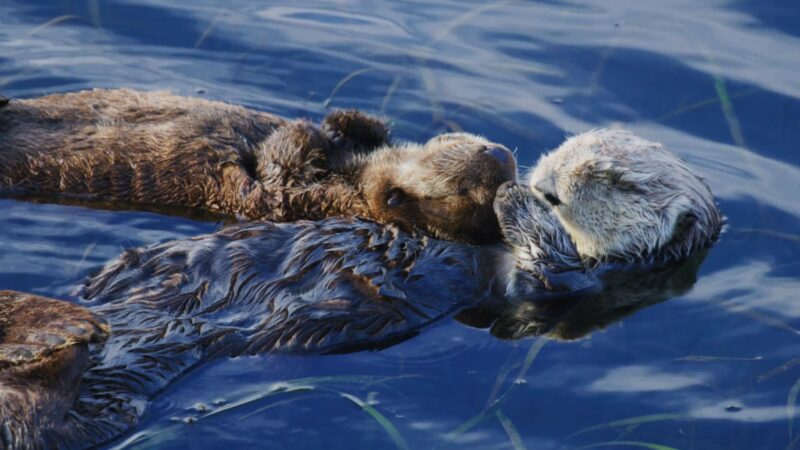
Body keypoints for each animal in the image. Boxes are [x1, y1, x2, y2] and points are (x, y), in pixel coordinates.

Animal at [0, 88, 512, 243]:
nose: (499, 155)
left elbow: (276, 169)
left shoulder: (280, 199)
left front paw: (308, 133)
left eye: (466, 191)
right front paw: (343, 123)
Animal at [0, 128, 724, 448]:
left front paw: (513, 196)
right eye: (565, 151)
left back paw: (58, 335)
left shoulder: (561, 284)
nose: (546, 181)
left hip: (100, 405)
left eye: (619, 183)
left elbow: (547, 264)